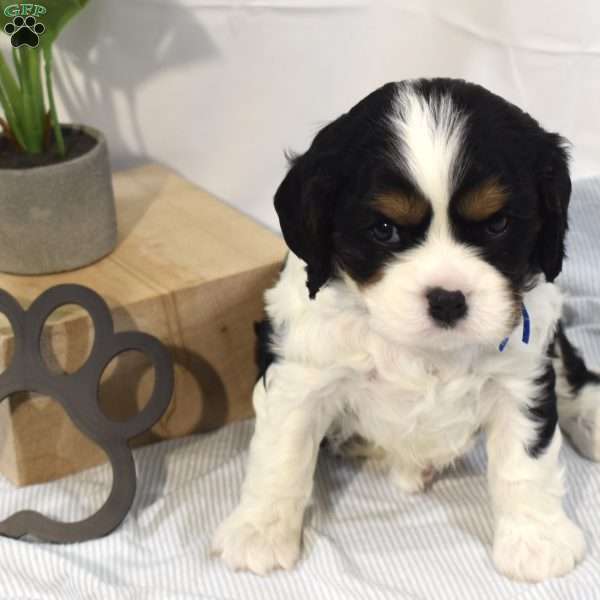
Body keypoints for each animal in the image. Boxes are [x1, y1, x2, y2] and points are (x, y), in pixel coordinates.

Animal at [212, 78, 600, 580]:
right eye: (384, 229)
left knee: (573, 373)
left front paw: (536, 539)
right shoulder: (302, 372)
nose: (448, 299)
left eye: (497, 224)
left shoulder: (521, 375)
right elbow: (282, 452)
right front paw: (259, 530)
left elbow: (526, 460)